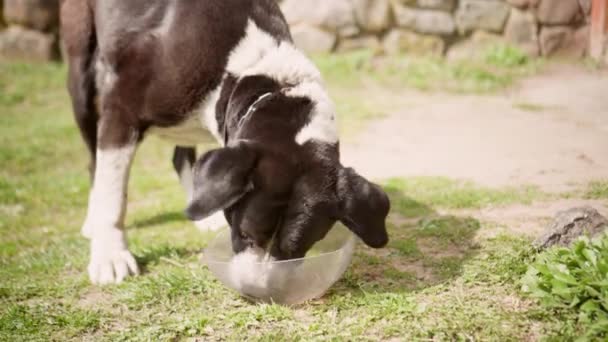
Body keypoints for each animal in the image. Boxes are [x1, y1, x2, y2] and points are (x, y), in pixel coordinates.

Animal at [61, 0, 390, 284]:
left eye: (295, 250)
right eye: (245, 235)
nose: (258, 289)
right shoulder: (120, 110)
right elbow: (113, 195)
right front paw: (111, 256)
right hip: (82, 74)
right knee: (94, 160)